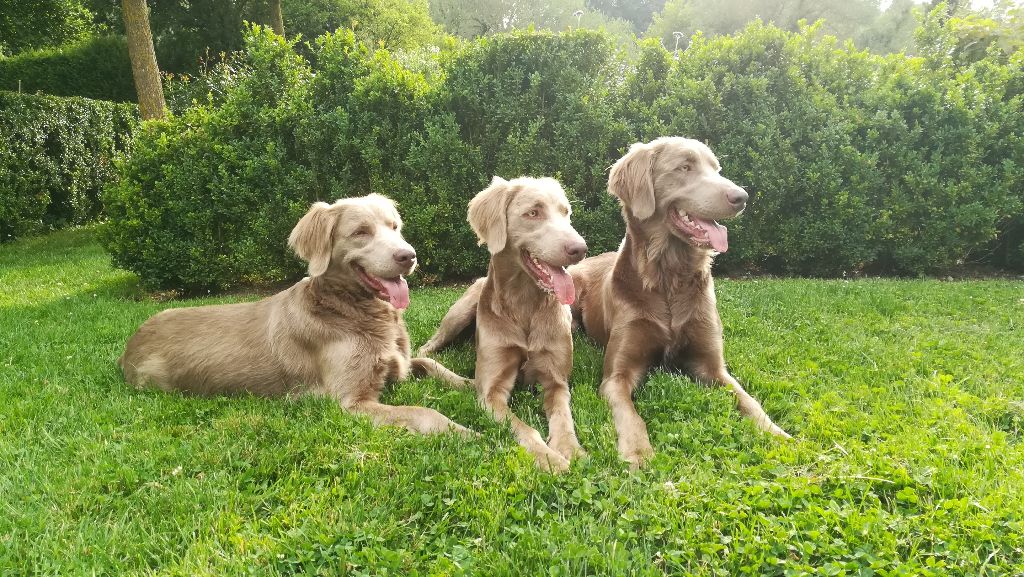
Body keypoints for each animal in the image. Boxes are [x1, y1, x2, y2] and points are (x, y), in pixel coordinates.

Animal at [121, 193, 473, 438]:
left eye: (394, 227)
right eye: (361, 232)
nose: (409, 256)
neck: (349, 308)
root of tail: (129, 346)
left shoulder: (400, 364)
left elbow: (433, 364)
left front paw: (471, 384)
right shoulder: (350, 401)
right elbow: (423, 411)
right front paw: (467, 432)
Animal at [419, 177, 589, 473]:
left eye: (566, 213)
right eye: (533, 213)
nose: (580, 249)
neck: (524, 304)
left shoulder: (556, 381)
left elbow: (563, 415)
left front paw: (570, 449)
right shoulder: (491, 393)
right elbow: (524, 429)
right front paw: (548, 458)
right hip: (459, 312)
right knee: (427, 346)